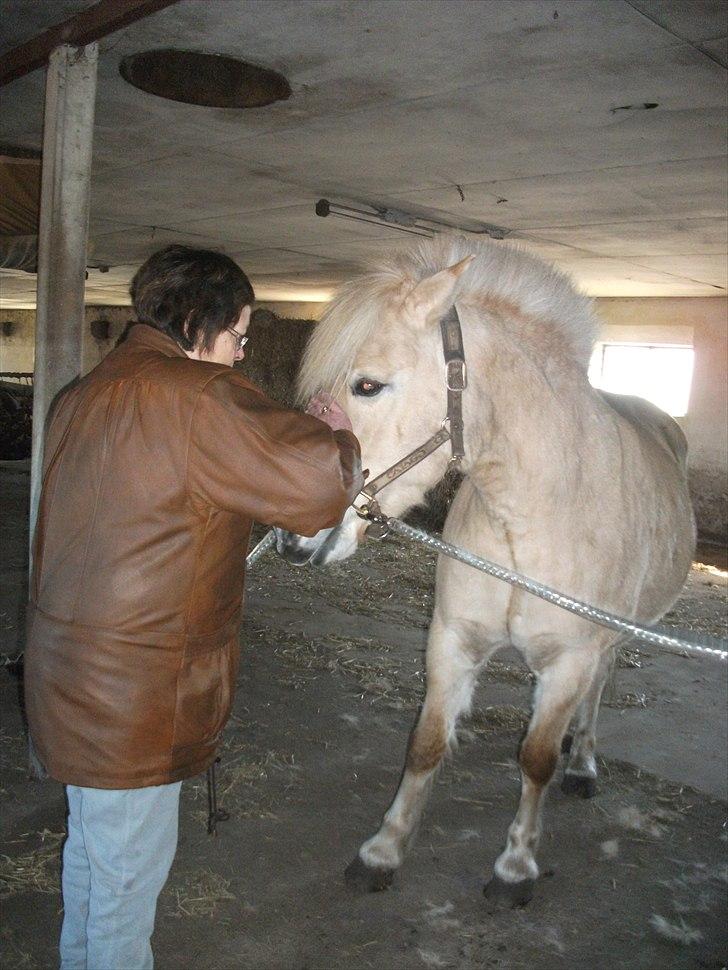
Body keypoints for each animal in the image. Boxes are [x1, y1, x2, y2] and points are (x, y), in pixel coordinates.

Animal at [276, 236, 696, 908]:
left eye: (368, 385)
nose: (292, 537)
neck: (530, 515)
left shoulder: (568, 660)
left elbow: (537, 760)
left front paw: (516, 866)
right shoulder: (452, 639)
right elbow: (425, 745)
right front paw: (383, 851)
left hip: (611, 637)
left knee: (598, 688)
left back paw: (584, 764)